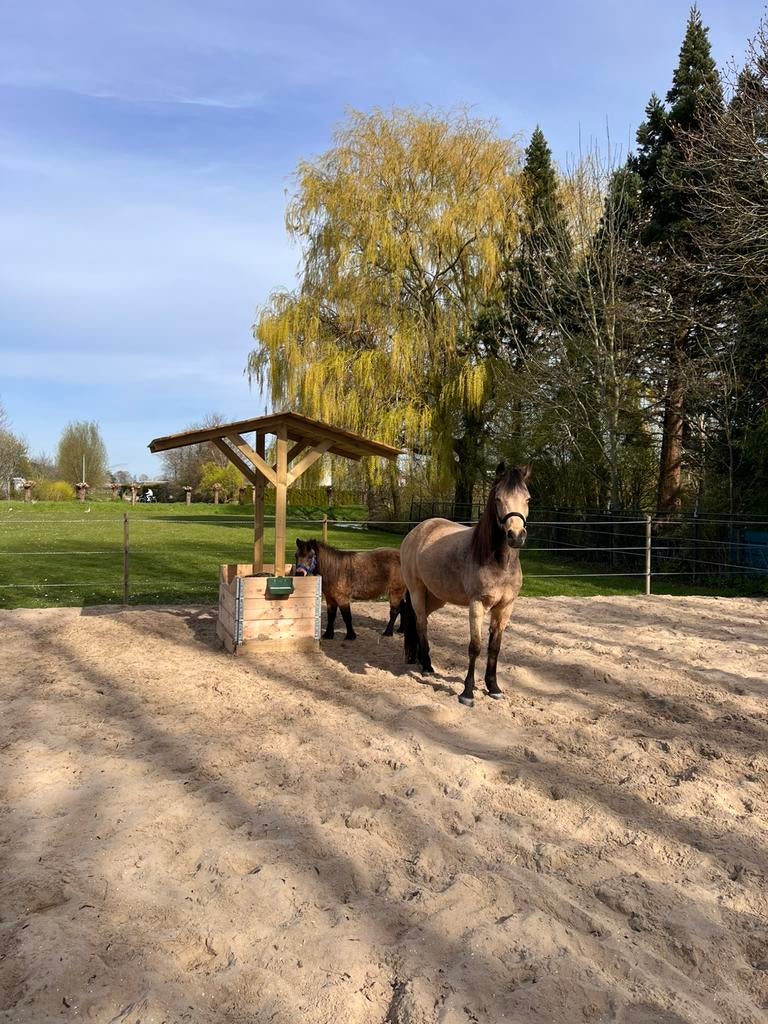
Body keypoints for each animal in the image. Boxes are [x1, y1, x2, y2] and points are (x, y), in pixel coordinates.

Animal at [399, 463, 530, 707]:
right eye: (498, 498)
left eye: (528, 499)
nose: (516, 536)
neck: (497, 561)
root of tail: (416, 531)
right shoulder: (477, 604)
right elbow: (475, 647)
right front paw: (467, 693)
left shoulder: (505, 607)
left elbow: (494, 648)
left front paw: (494, 688)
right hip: (417, 591)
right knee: (421, 623)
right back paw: (427, 666)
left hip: (436, 596)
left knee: (417, 619)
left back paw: (418, 658)